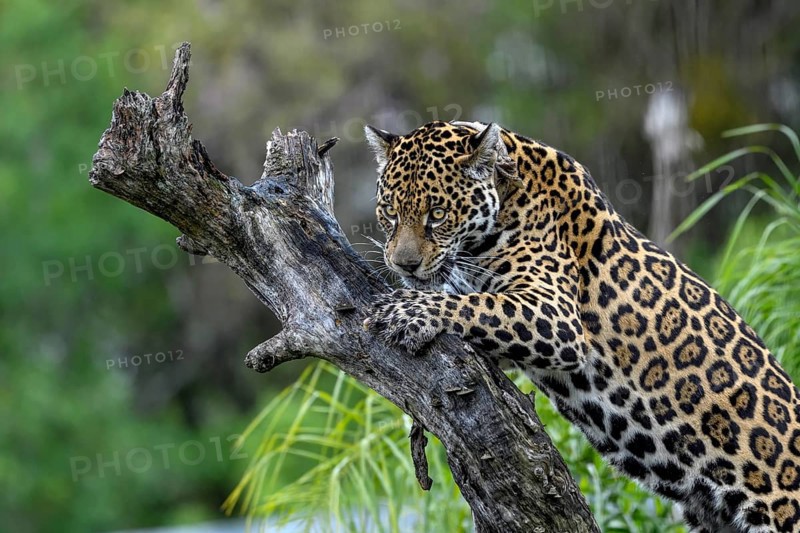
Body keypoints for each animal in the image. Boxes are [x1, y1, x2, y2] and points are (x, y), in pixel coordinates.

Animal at [361, 120, 800, 533]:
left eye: (437, 214)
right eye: (390, 212)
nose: (403, 265)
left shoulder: (556, 315)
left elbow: (473, 305)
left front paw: (404, 311)